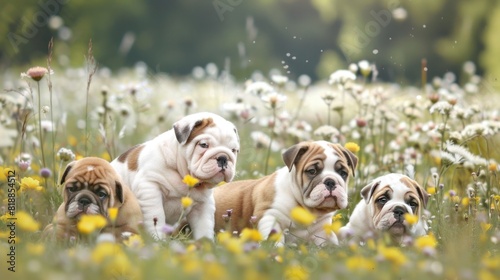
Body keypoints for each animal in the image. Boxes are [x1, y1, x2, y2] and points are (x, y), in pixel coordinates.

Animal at [112, 111, 240, 241]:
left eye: (234, 150)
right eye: (203, 145)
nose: (223, 158)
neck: (182, 174)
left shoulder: (203, 205)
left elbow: (204, 227)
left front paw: (205, 243)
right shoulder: (150, 188)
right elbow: (156, 217)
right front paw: (158, 240)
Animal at [213, 141, 358, 246]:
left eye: (343, 173)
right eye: (312, 171)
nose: (330, 181)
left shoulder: (322, 230)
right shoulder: (269, 216)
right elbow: (274, 239)